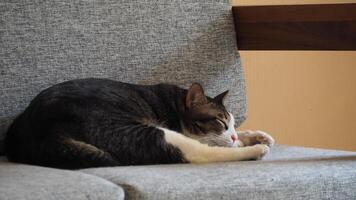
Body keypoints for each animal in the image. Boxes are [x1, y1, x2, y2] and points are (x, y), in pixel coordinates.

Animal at [4, 78, 274, 169]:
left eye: (232, 123)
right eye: (219, 121)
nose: (233, 135)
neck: (174, 103)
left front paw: (255, 135)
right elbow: (212, 145)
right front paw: (250, 142)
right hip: (139, 130)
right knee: (197, 153)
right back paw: (255, 150)